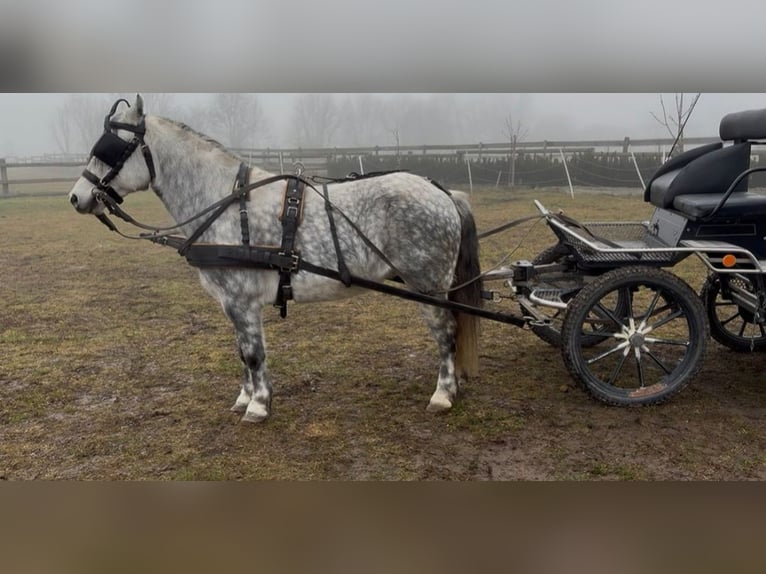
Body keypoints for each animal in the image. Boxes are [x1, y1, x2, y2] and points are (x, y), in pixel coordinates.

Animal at [67, 94, 483, 423]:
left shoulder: (241, 300)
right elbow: (241, 352)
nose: (76, 197)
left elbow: (253, 354)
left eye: (110, 148)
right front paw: (245, 398)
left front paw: (259, 406)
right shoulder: (232, 303)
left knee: (447, 334)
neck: (225, 202)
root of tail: (444, 193)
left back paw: (443, 393)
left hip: (428, 286)